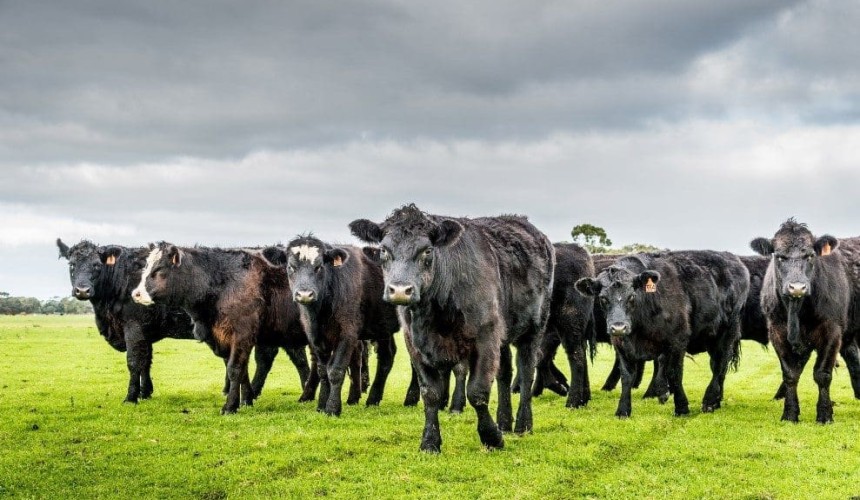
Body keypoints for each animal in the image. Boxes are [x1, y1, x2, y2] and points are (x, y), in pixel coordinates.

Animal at [130, 243, 363, 414]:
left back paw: (350, 398)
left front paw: (230, 406)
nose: (136, 294)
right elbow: (240, 370)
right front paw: (246, 400)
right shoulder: (225, 338)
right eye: (145, 268)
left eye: (159, 270)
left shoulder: (242, 334)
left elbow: (234, 369)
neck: (223, 281)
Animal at [350, 203, 554, 452]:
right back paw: (504, 423)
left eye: (427, 250)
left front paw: (491, 437)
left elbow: (477, 391)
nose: (400, 290)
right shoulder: (414, 343)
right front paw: (430, 442)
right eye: (383, 250)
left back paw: (523, 425)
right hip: (503, 335)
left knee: (526, 372)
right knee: (505, 373)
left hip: (534, 328)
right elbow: (430, 393)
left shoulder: (485, 337)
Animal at [576, 250, 749, 418]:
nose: (618, 327)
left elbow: (674, 373)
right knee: (717, 366)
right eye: (603, 298)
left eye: (631, 296)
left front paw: (681, 408)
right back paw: (717, 401)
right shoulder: (621, 345)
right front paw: (623, 410)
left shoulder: (678, 340)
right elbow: (626, 376)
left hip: (728, 332)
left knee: (720, 364)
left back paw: (710, 401)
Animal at [750, 220, 860, 422]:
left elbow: (822, 374)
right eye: (779, 256)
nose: (797, 287)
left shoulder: (832, 331)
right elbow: (790, 374)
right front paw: (790, 413)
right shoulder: (777, 332)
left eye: (810, 255)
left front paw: (824, 414)